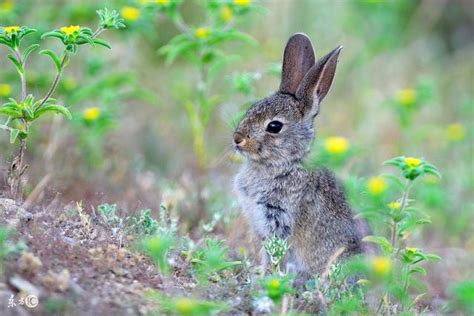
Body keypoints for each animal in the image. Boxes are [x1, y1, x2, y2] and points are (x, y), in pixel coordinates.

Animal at [233, 32, 362, 278]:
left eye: (274, 126)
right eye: (251, 109)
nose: (237, 139)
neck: (284, 163)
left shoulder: (279, 221)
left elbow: (276, 255)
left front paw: (266, 277)